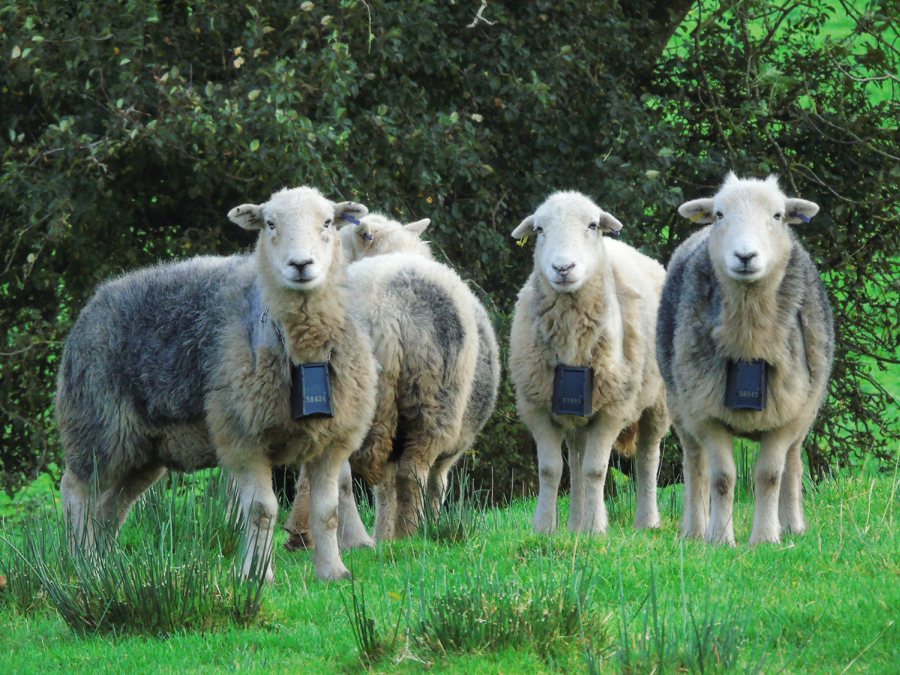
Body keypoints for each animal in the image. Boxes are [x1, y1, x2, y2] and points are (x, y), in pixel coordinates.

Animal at [56, 186, 377, 581]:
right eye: (270, 223)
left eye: (328, 222)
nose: (301, 265)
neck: (301, 349)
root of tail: (93, 303)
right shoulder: (243, 438)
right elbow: (262, 510)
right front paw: (256, 576)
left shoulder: (331, 443)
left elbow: (327, 511)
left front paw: (333, 572)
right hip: (97, 426)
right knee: (77, 493)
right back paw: (82, 565)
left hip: (144, 448)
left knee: (111, 505)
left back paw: (102, 566)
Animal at [508, 191, 669, 535]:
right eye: (539, 229)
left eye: (593, 225)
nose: (563, 267)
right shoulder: (537, 407)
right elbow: (550, 470)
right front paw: (545, 527)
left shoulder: (613, 409)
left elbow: (596, 470)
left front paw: (596, 529)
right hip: (577, 416)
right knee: (577, 459)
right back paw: (575, 525)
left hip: (658, 402)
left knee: (648, 456)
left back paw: (646, 521)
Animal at [657, 173, 834, 546]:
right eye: (720, 214)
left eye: (778, 215)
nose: (745, 256)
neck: (750, 345)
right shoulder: (706, 414)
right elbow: (722, 478)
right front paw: (721, 539)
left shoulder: (786, 415)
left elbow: (769, 475)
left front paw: (766, 538)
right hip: (680, 406)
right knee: (695, 466)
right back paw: (695, 530)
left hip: (805, 409)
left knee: (793, 464)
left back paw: (792, 525)